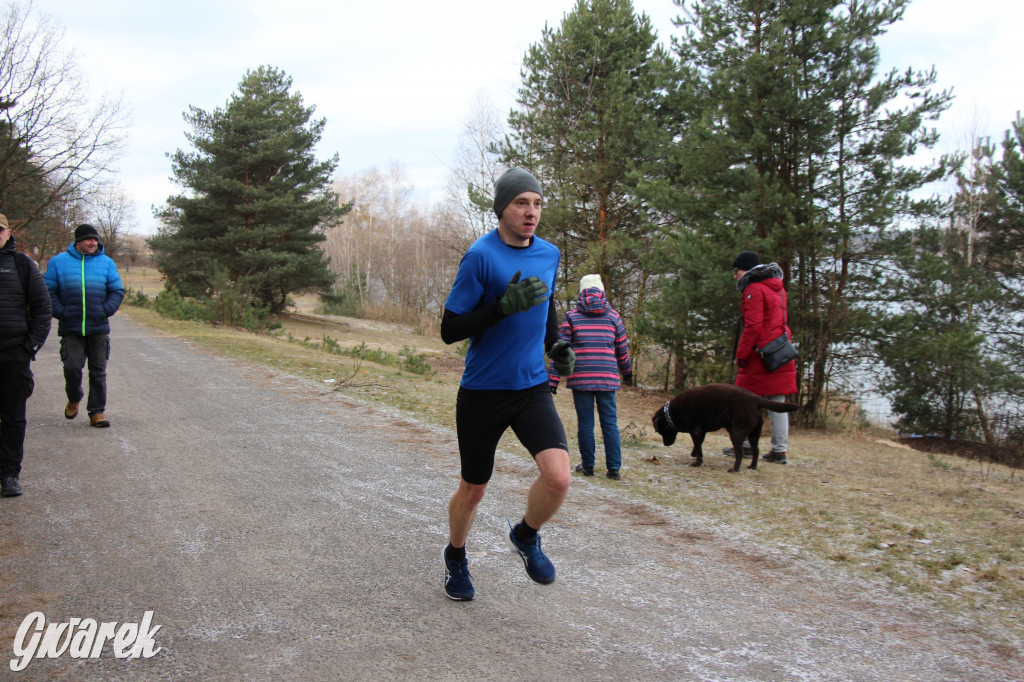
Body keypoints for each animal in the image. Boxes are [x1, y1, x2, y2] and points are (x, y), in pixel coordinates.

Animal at [647, 382, 798, 473]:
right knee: (756, 450)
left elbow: (699, 448)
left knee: (740, 452)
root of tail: (756, 399)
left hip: (736, 432)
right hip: (754, 434)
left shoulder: (696, 431)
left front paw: (697, 462)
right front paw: (694, 454)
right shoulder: (701, 432)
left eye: (660, 431)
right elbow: (698, 445)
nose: (666, 444)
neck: (673, 411)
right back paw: (752, 467)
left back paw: (735, 469)